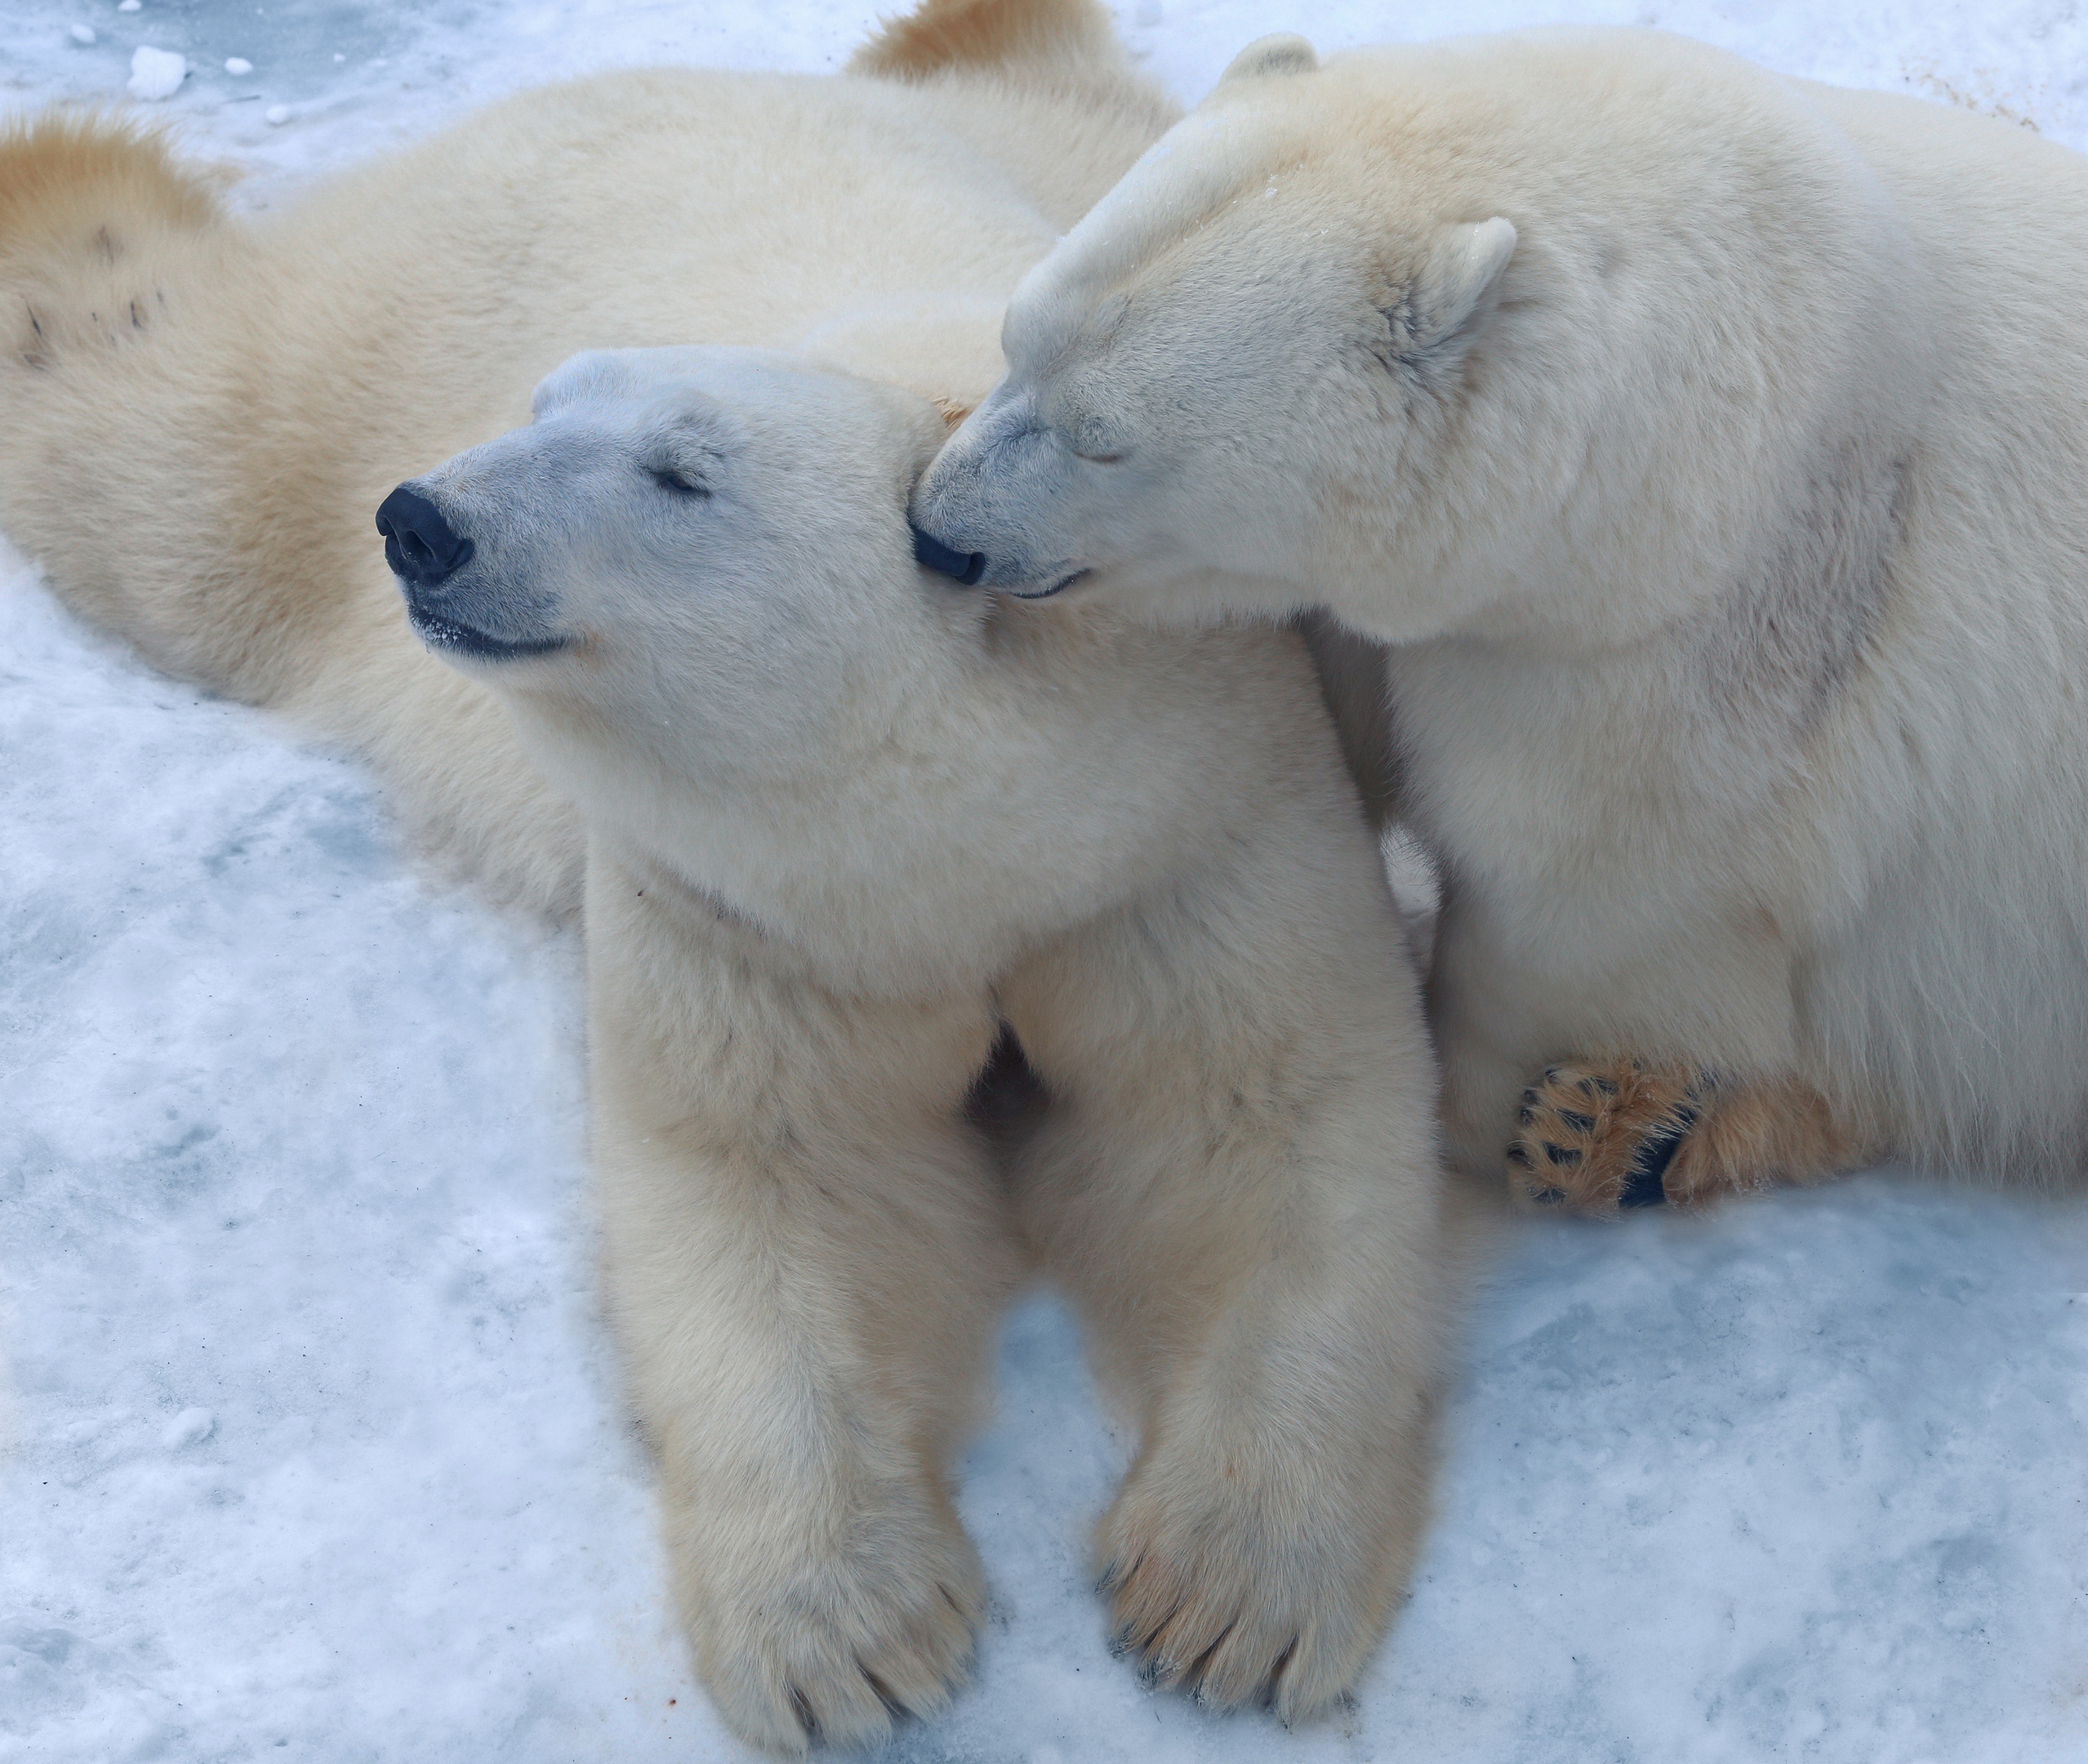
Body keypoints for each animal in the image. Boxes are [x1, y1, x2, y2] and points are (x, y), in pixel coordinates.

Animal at [0, 10, 1453, 1744]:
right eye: (545, 404)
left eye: (682, 474)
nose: (424, 521)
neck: (1006, 816)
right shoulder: (743, 906)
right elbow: (776, 1174)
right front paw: (851, 1639)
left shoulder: (1192, 822)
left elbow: (1268, 1115)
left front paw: (1225, 1599)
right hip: (331, 387)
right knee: (142, 447)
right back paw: (65, 181)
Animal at [914, 27, 2088, 1210]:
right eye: (1017, 340)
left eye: (1103, 440)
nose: (937, 530)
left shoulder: (1685, 668)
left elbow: (1567, 913)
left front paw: (1468, 1116)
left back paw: (1620, 1126)